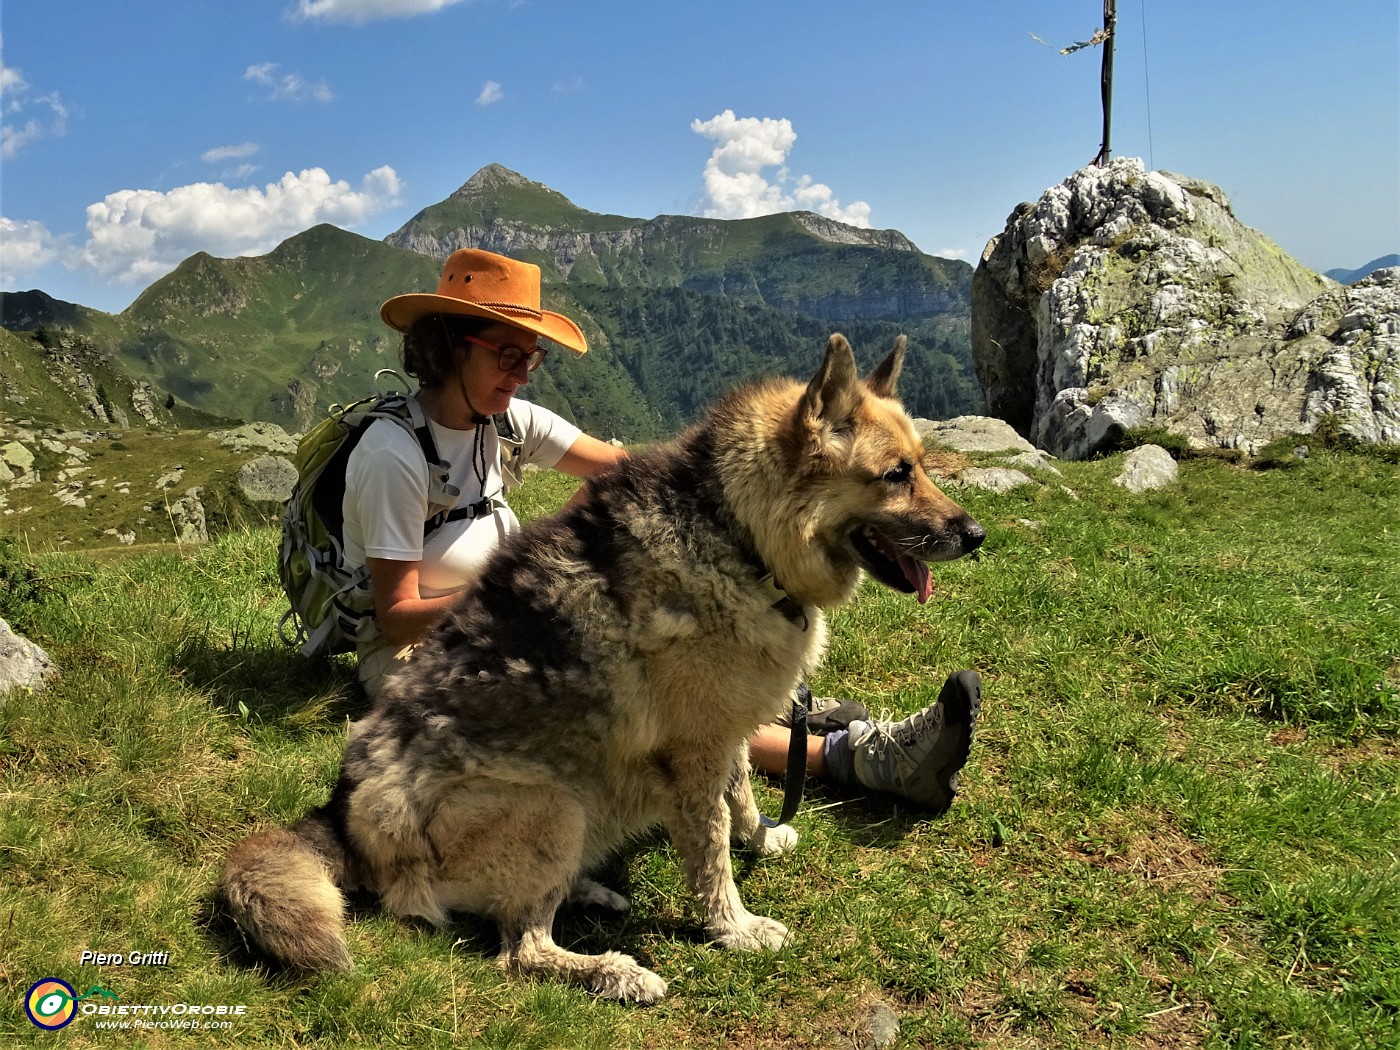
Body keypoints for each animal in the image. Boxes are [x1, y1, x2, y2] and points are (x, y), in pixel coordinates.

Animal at [221, 334, 985, 1002]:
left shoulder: (723, 730)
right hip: (553, 802)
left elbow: (738, 791)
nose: (976, 535)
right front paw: (733, 926)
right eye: (896, 475)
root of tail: (344, 816)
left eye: (922, 464)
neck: (740, 533)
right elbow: (709, 846)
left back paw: (591, 890)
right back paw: (614, 972)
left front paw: (760, 836)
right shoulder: (696, 749)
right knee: (519, 949)